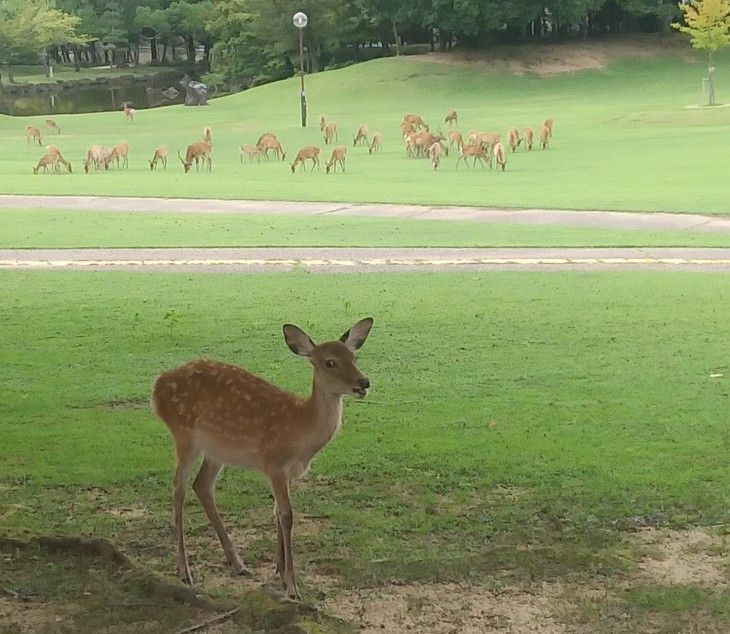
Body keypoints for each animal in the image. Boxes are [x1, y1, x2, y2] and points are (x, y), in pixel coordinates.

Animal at [151, 316, 372, 596]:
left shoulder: (286, 472)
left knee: (201, 486)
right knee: (178, 488)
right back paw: (184, 571)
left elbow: (277, 512)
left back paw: (238, 563)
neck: (302, 427)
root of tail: (156, 386)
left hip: (217, 450)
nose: (364, 383)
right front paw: (292, 585)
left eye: (355, 356)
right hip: (184, 433)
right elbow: (287, 515)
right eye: (330, 362)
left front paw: (280, 571)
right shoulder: (273, 462)